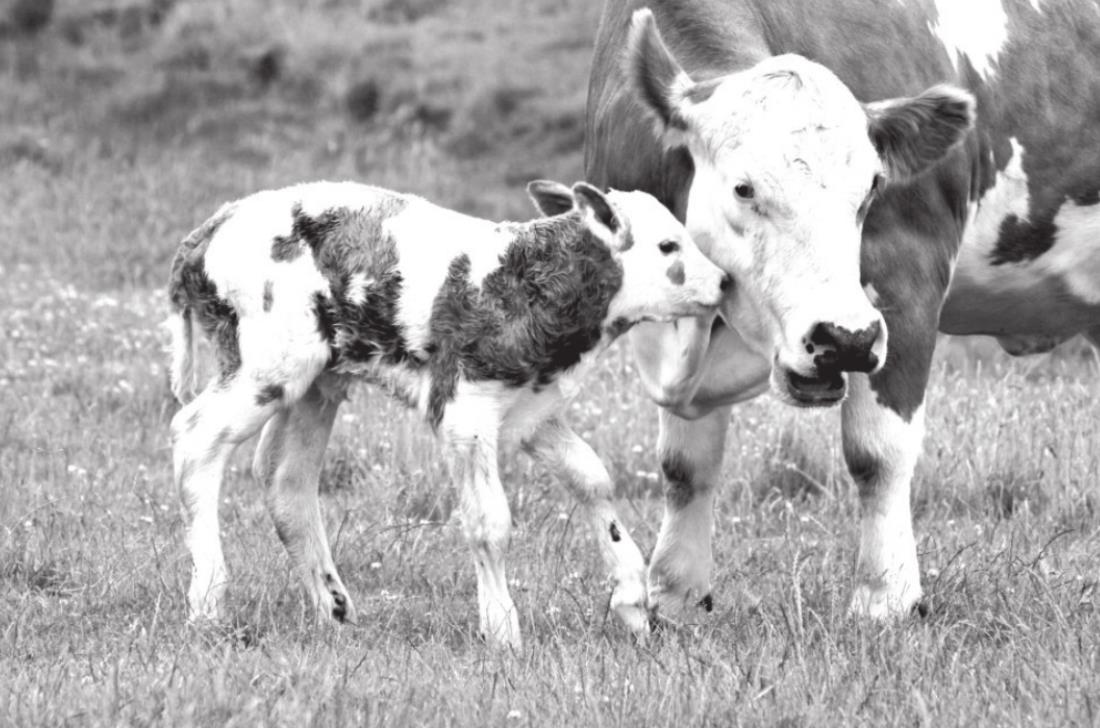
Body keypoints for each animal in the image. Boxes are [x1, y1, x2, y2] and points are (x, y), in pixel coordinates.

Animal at [166, 179, 729, 649]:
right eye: (668, 246)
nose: (724, 281)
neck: (523, 282)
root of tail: (210, 228)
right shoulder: (465, 412)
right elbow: (489, 522)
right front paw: (502, 631)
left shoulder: (533, 409)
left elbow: (593, 480)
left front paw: (633, 602)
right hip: (268, 364)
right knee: (195, 437)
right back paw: (208, 605)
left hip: (316, 381)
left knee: (285, 478)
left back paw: (335, 610)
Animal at [585, 0, 1100, 621]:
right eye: (743, 188)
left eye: (873, 187)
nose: (843, 339)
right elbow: (684, 464)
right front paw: (676, 596)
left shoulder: (905, 278)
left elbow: (877, 453)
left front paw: (885, 598)